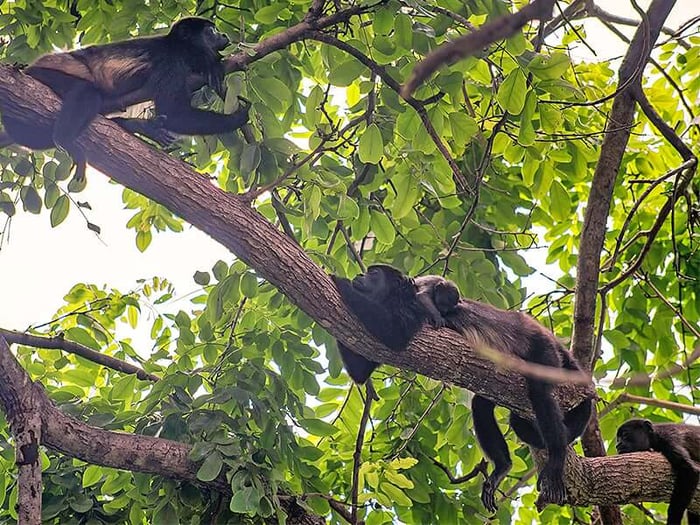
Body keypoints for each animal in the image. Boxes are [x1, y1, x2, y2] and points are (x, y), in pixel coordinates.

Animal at [0, 17, 249, 183]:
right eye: (212, 30)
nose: (224, 35)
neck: (181, 47)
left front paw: (213, 67)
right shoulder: (170, 60)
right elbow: (175, 112)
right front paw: (238, 117)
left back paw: (141, 127)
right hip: (44, 76)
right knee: (87, 93)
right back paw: (66, 139)